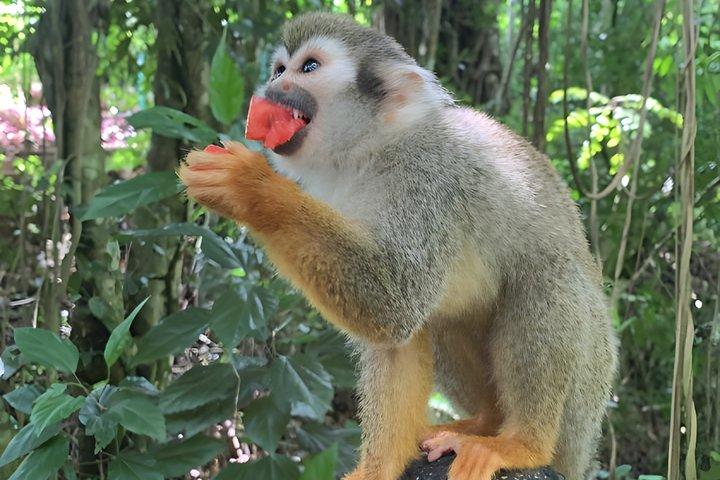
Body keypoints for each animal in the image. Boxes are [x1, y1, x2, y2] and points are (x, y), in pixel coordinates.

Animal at [177, 12, 617, 480]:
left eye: (308, 67)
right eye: (279, 69)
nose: (272, 87)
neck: (371, 151)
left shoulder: (428, 175)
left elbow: (394, 303)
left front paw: (250, 187)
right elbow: (394, 332)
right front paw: (379, 465)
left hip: (585, 398)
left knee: (548, 280)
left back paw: (522, 444)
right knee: (445, 314)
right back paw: (485, 421)